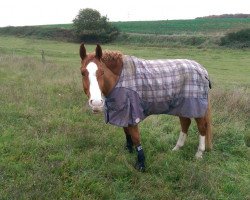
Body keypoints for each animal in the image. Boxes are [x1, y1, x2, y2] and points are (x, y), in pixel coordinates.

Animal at [79, 43, 212, 172]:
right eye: (82, 72)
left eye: (102, 72)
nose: (96, 103)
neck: (119, 78)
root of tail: (203, 70)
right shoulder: (123, 112)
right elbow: (126, 131)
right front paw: (129, 150)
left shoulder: (132, 112)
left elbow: (136, 137)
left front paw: (141, 163)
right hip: (182, 106)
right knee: (185, 123)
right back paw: (177, 148)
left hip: (196, 107)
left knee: (202, 127)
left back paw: (199, 153)